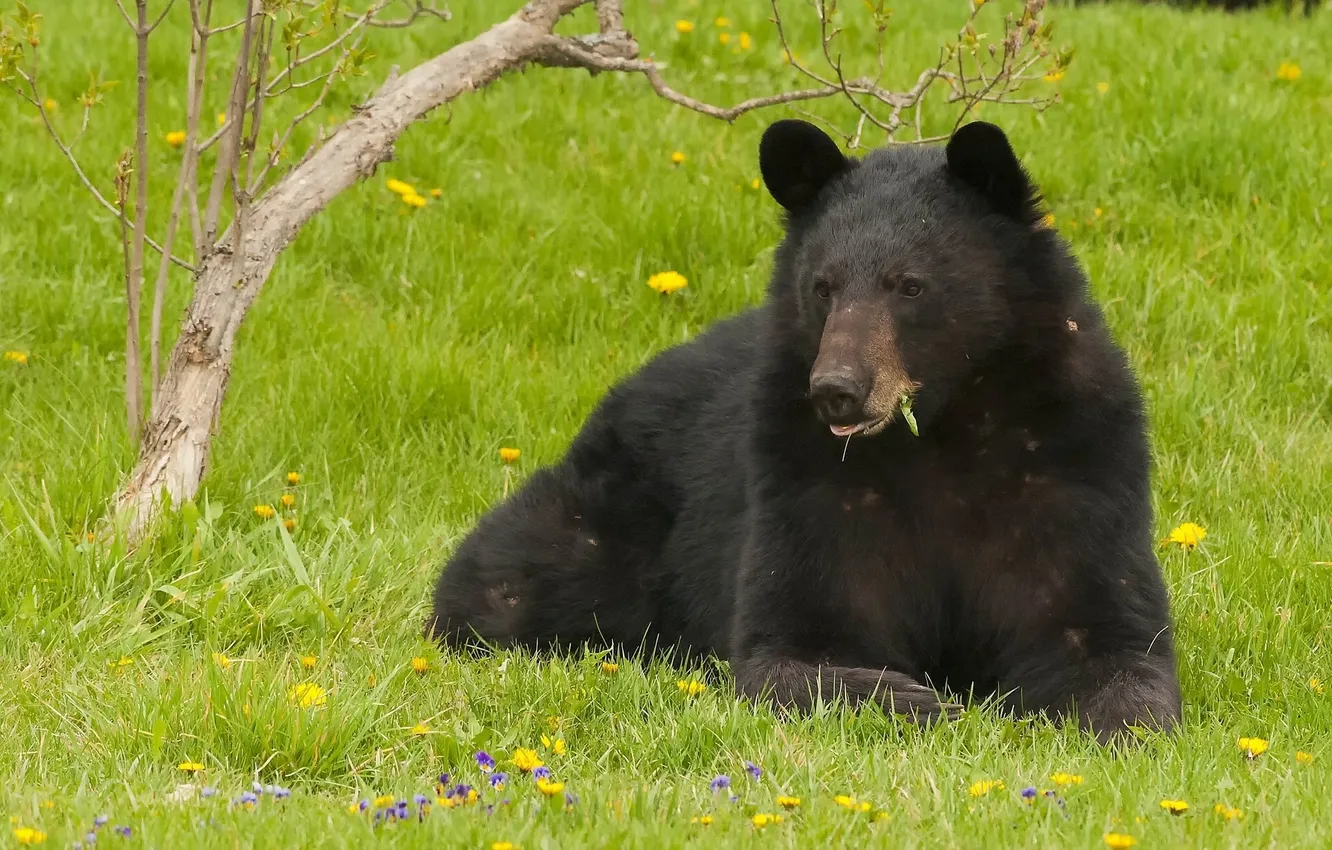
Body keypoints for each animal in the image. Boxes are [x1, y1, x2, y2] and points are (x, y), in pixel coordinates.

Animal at [423, 119, 1177, 746]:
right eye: (824, 285)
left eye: (910, 285)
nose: (836, 387)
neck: (940, 433)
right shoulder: (806, 480)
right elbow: (795, 639)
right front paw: (914, 699)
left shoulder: (1072, 467)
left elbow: (1104, 633)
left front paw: (1120, 719)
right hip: (605, 518)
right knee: (505, 578)